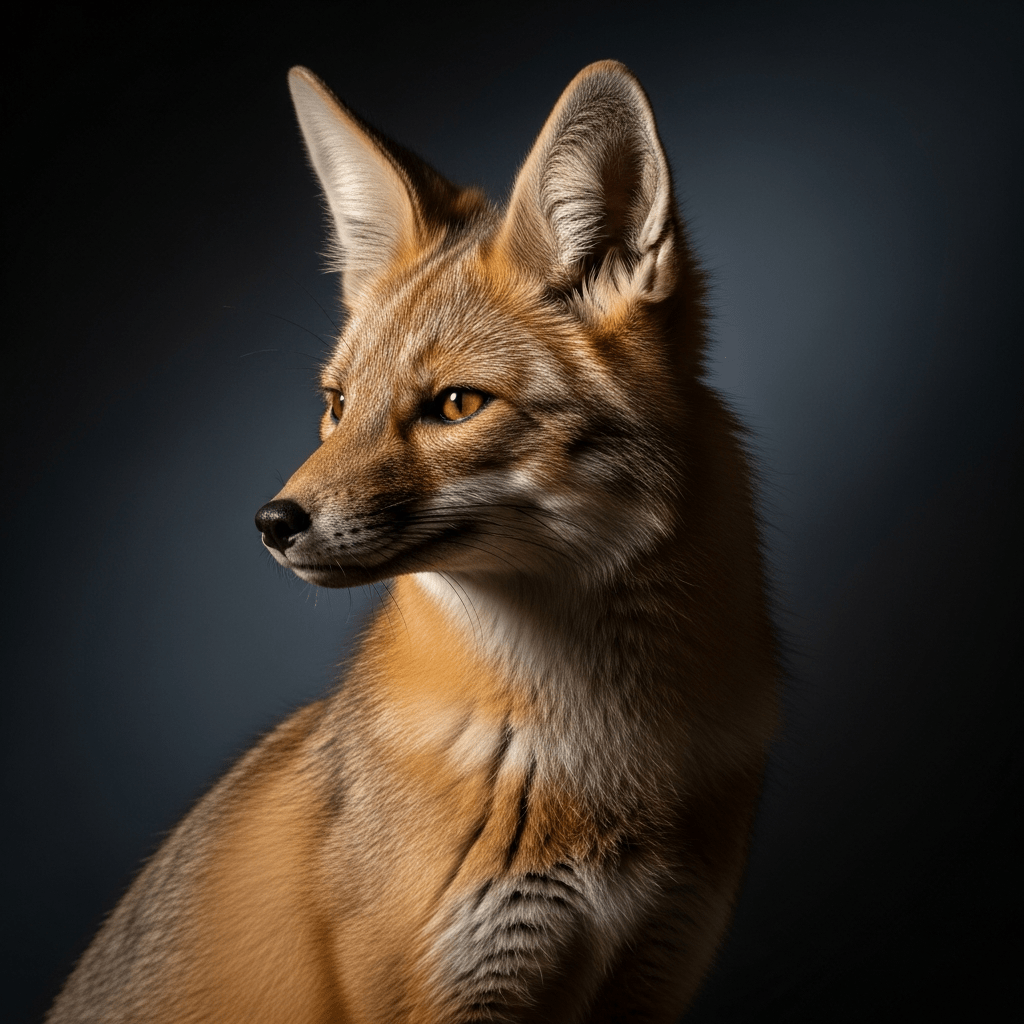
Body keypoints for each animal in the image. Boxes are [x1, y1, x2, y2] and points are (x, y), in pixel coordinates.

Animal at [48, 61, 779, 1023]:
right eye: (336, 404)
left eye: (457, 405)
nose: (272, 522)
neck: (595, 766)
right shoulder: (448, 987)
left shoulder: (657, 967)